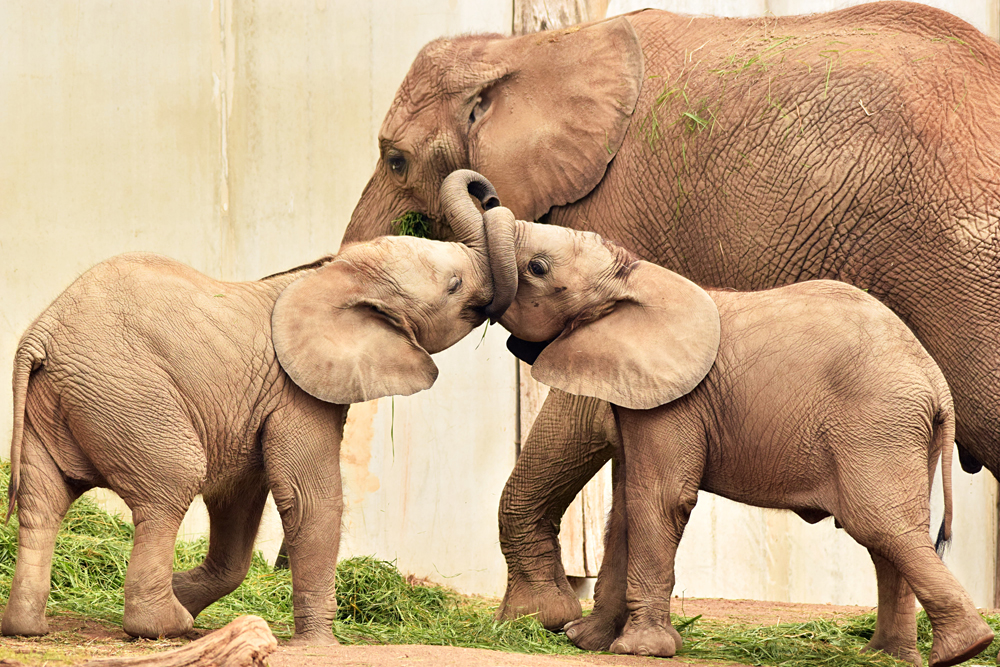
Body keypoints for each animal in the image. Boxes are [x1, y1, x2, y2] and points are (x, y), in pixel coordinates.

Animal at [1, 176, 514, 643]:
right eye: (454, 285)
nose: (488, 193)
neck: (331, 276)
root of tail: (40, 333)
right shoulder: (296, 394)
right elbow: (309, 498)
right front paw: (319, 644)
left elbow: (239, 496)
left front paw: (184, 590)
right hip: (125, 393)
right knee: (170, 486)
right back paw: (164, 626)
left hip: (57, 404)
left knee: (42, 503)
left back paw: (28, 627)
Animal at [469, 189, 994, 667]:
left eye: (537, 268)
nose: (485, 193)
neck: (636, 276)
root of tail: (936, 382)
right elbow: (625, 507)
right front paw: (588, 642)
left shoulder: (677, 401)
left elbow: (658, 498)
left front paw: (641, 650)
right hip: (899, 431)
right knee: (887, 538)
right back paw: (888, 656)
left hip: (877, 424)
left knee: (884, 525)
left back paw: (965, 648)